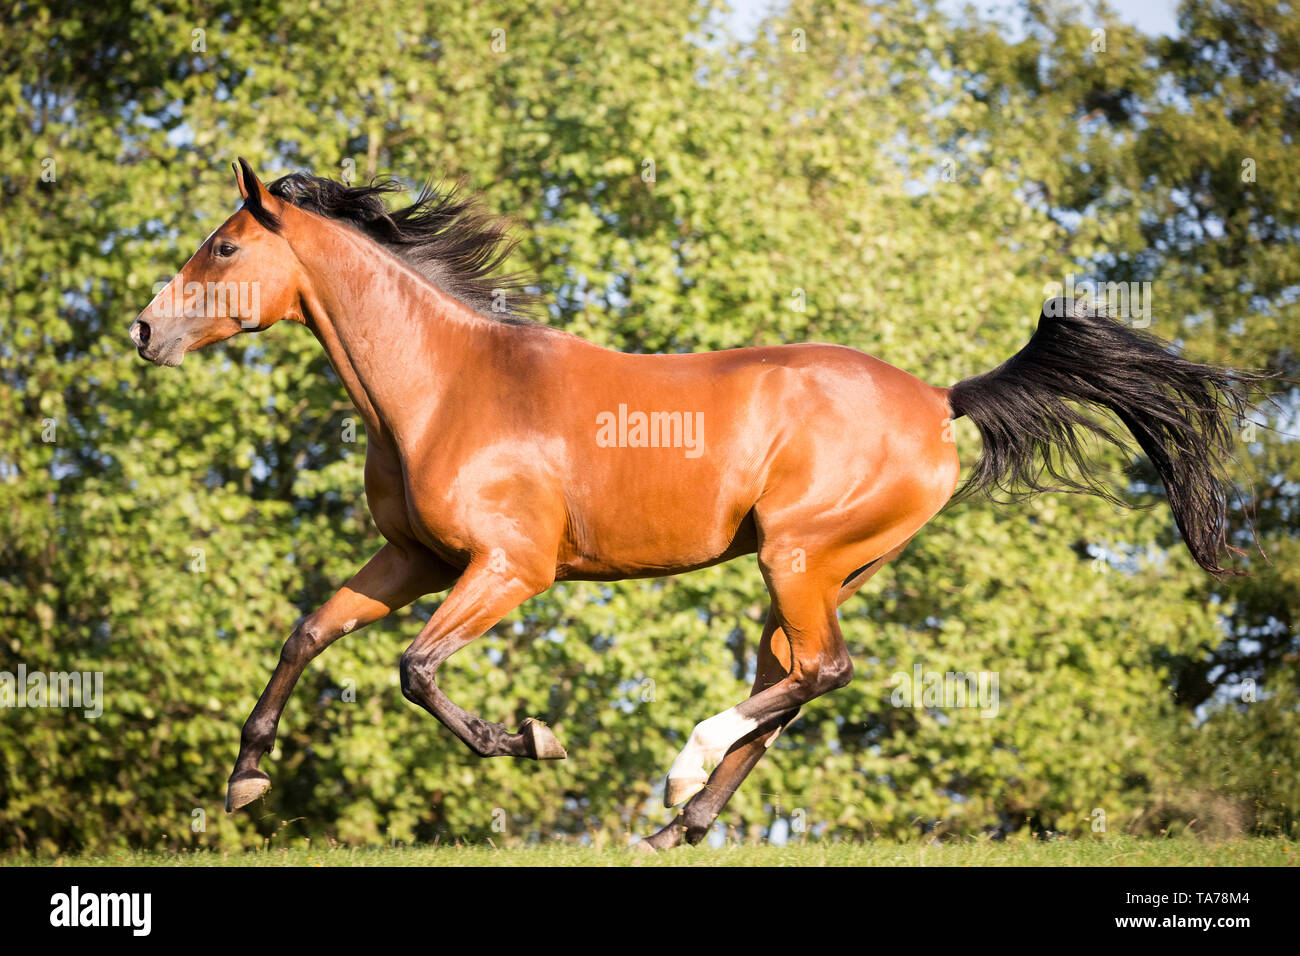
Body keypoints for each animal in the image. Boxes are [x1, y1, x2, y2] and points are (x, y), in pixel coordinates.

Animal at [129, 158, 1258, 850]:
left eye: (223, 247)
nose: (143, 330)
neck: (445, 386)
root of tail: (941, 399)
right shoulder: (416, 560)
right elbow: (313, 628)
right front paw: (245, 778)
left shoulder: (509, 568)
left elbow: (414, 669)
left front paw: (530, 738)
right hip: (820, 570)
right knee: (794, 675)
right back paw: (681, 822)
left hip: (798, 556)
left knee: (819, 671)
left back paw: (679, 780)